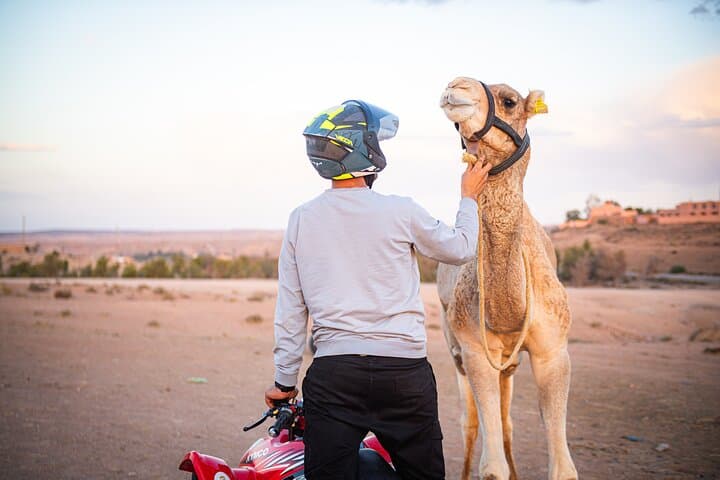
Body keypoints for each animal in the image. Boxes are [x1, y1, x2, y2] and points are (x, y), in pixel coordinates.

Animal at [436, 77, 578, 480]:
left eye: (510, 100)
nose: (455, 86)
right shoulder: (475, 350)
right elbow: (491, 465)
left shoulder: (553, 352)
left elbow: (563, 467)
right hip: (456, 350)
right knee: (470, 423)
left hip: (509, 365)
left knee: (506, 420)